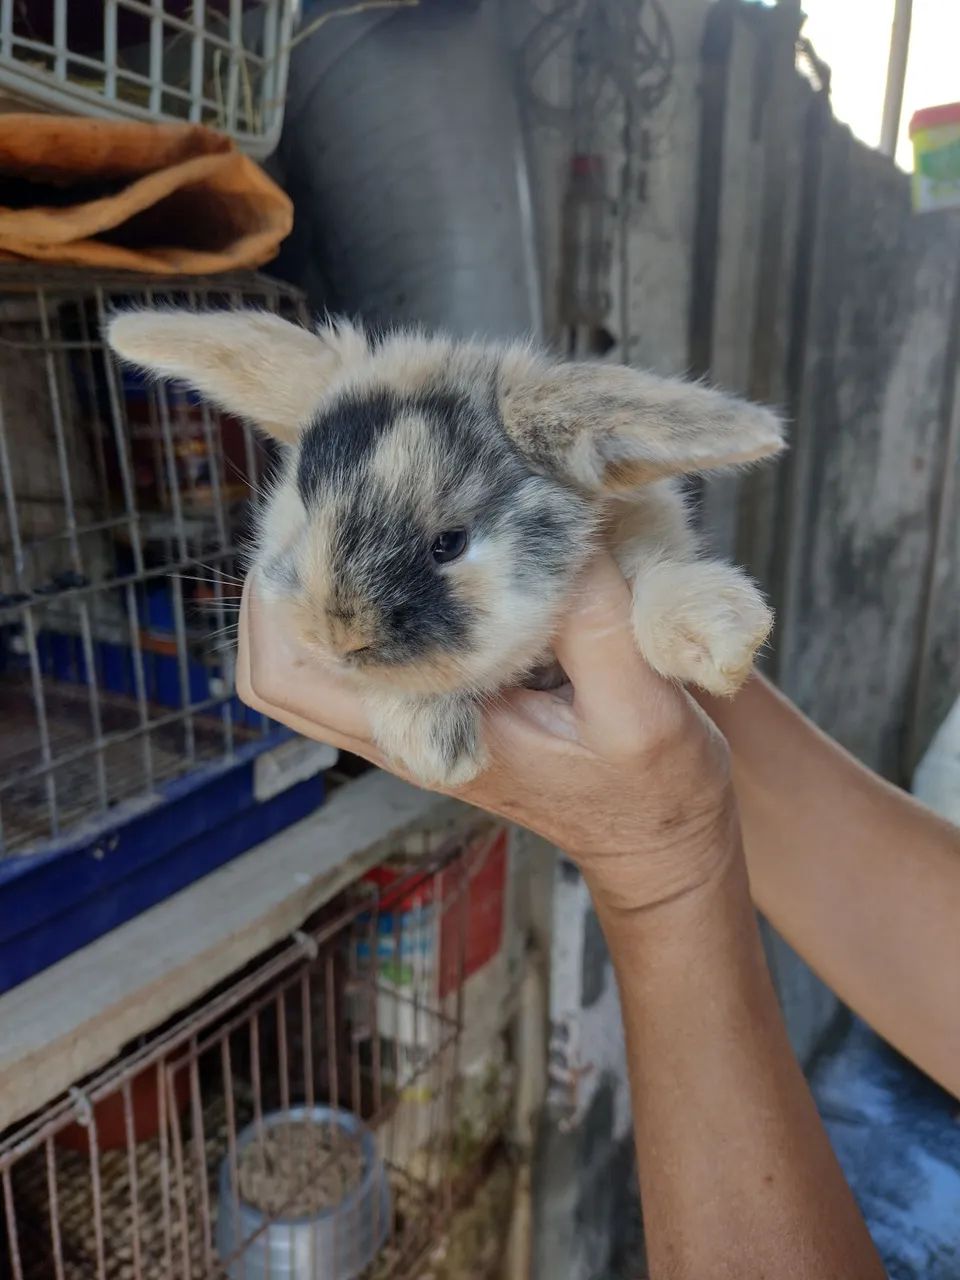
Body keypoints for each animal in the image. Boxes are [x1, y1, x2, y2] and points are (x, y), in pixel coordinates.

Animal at [107, 311, 784, 787]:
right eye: (303, 503)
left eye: (449, 544)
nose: (340, 636)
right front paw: (436, 745)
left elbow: (660, 584)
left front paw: (722, 638)